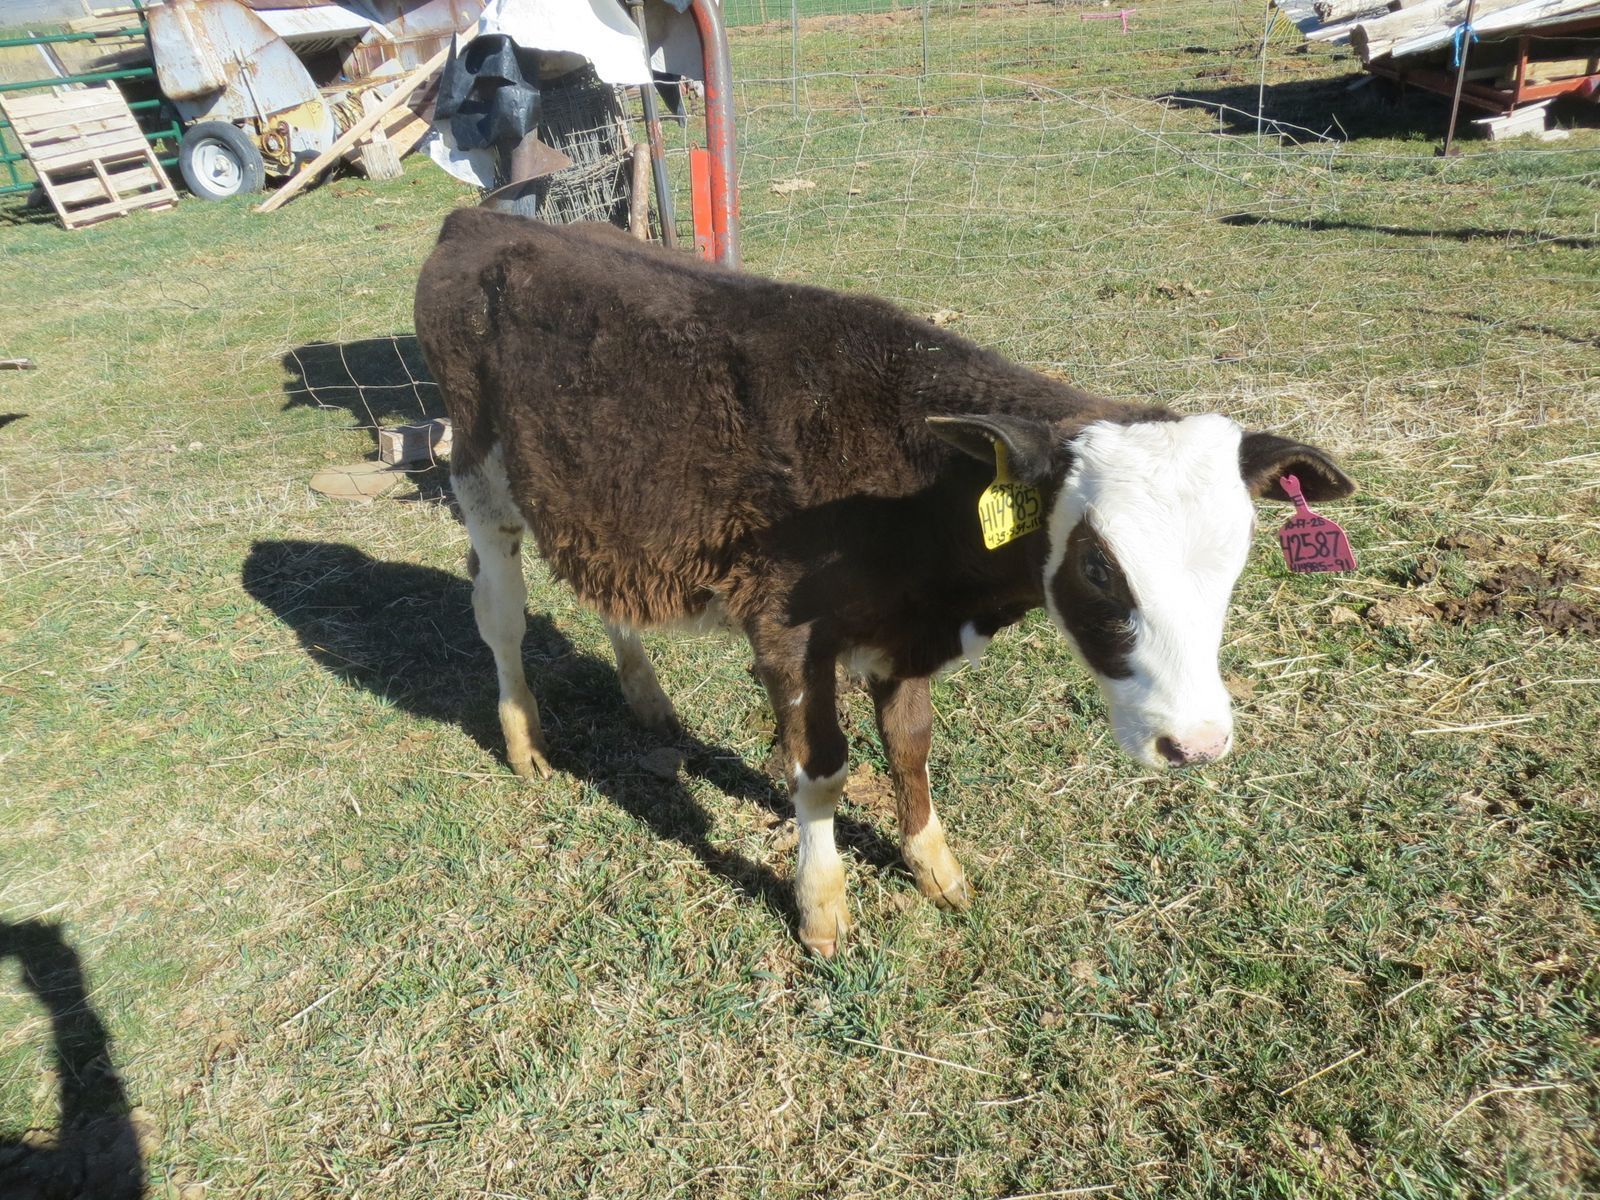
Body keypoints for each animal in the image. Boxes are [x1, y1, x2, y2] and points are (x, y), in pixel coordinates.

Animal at [414, 208, 1356, 955]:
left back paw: (648, 699)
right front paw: (821, 904)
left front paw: (933, 865)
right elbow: (825, 769)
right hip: (480, 477)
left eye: (1237, 554)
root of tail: (482, 218)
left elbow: (909, 746)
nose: (1197, 744)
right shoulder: (789, 633)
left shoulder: (903, 639)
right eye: (1097, 563)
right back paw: (524, 739)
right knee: (499, 613)